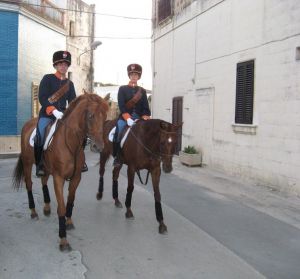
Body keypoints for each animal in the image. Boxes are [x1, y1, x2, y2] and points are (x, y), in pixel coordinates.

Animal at [13, 92, 109, 252]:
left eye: (105, 117)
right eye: (90, 116)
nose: (98, 147)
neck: (71, 143)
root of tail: (28, 124)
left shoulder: (76, 177)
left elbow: (70, 201)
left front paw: (68, 223)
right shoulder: (58, 178)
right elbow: (62, 208)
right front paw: (63, 240)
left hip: (45, 169)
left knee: (43, 181)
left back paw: (46, 207)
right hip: (27, 163)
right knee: (29, 185)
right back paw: (33, 212)